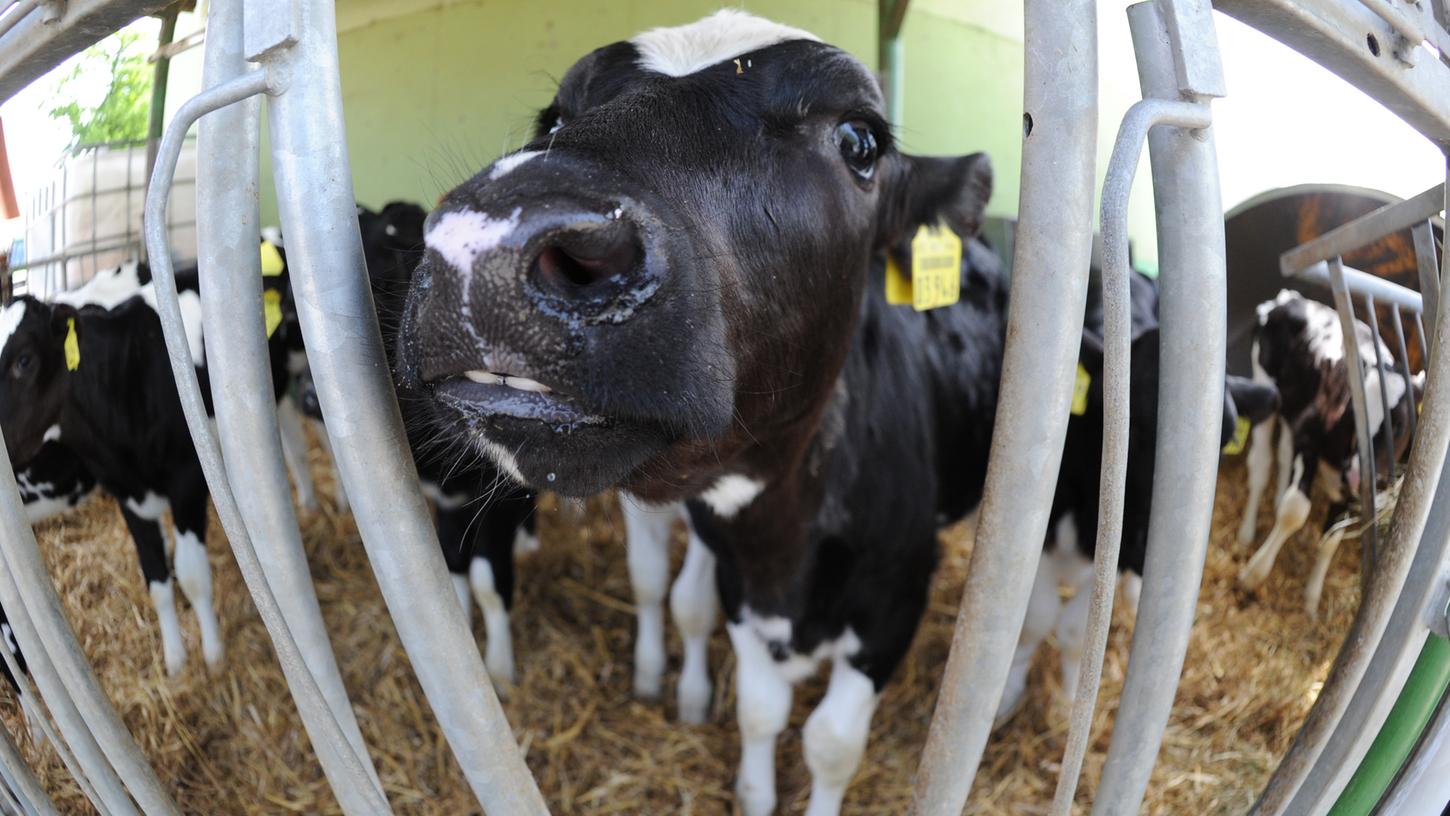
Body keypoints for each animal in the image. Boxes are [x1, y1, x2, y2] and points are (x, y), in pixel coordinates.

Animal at [1, 257, 295, 672]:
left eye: (24, 361)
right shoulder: (127, 495)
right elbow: (156, 580)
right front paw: (175, 659)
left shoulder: (188, 480)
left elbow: (193, 575)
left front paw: (213, 656)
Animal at [991, 272, 1276, 727]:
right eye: (1134, 428)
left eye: (1222, 443)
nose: (1146, 547)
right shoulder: (1038, 533)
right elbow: (1035, 619)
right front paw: (1007, 693)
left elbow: (1076, 632)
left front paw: (1069, 701)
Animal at [1235, 289, 1415, 617]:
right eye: (1355, 413)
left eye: (1398, 425)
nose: (1357, 474)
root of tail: (1289, 298)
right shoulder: (1309, 441)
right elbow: (1295, 512)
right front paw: (1254, 573)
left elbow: (1332, 539)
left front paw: (1311, 599)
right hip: (1264, 387)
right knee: (1261, 463)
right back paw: (1247, 532)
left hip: (1292, 405)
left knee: (1284, 452)